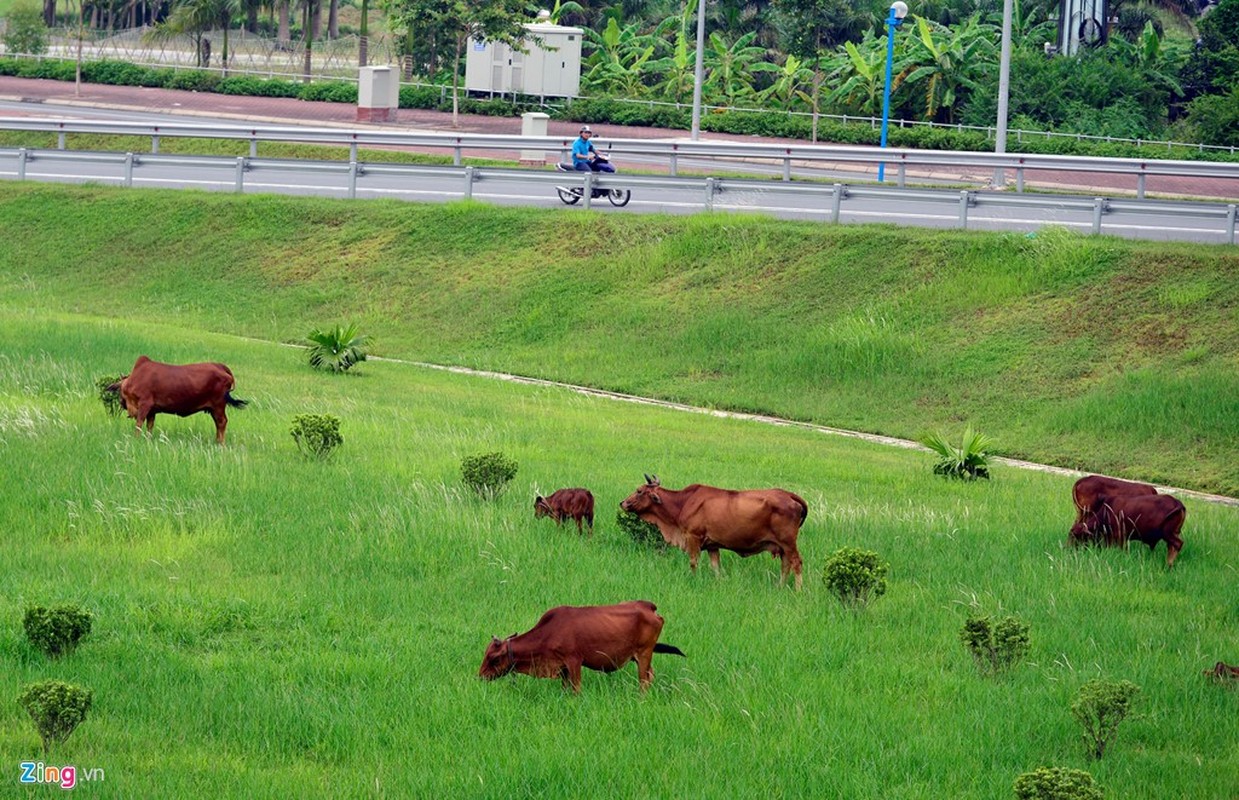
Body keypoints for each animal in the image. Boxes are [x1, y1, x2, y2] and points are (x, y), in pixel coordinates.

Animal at [106, 356, 246, 445]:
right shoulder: (152, 410)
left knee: (222, 422)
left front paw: (136, 439)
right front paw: (148, 439)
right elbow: (150, 426)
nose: (122, 403)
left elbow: (139, 424)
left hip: (218, 405)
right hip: (213, 408)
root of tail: (220, 366)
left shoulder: (145, 404)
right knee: (218, 423)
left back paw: (220, 444)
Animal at [475, 601, 688, 693]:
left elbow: (576, 689)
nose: (480, 676)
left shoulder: (574, 661)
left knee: (644, 681)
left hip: (644, 654)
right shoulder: (562, 668)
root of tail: (649, 607)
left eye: (494, 658)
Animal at [619, 475, 812, 589]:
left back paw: (798, 590)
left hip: (788, 542)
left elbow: (693, 563)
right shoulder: (713, 545)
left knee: (796, 563)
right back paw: (780, 586)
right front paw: (719, 582)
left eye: (639, 491)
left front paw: (694, 580)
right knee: (785, 564)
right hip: (782, 546)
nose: (622, 503)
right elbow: (716, 567)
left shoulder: (693, 537)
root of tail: (788, 495)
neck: (682, 503)